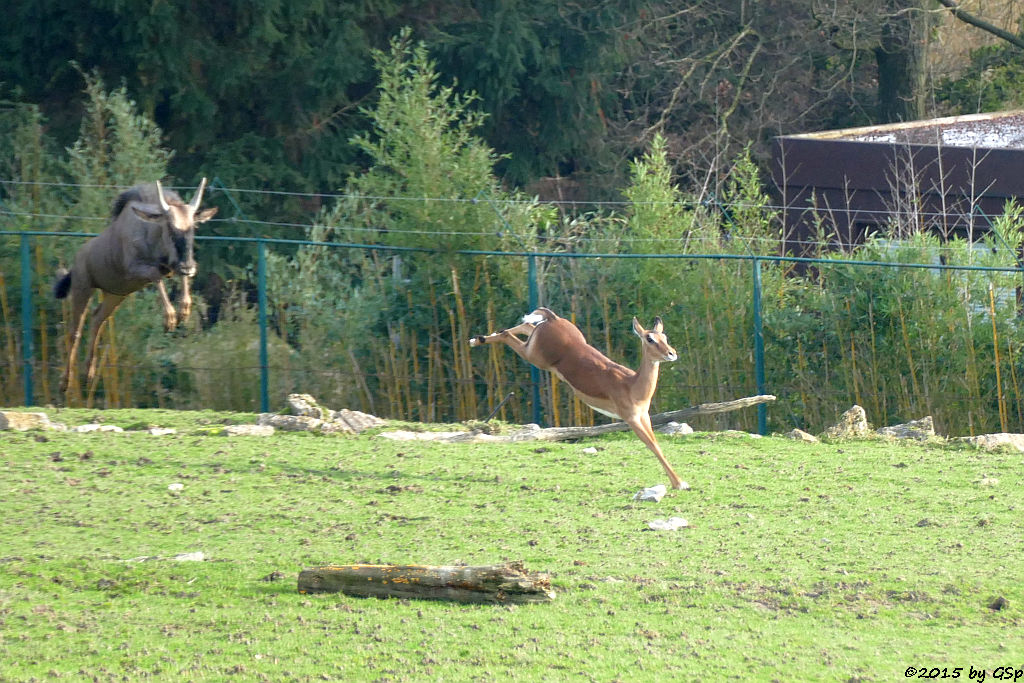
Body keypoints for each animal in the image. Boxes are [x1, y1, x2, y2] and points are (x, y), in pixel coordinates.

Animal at [471, 307, 688, 489]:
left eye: (664, 336)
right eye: (650, 339)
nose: (672, 353)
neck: (632, 385)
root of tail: (554, 319)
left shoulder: (644, 416)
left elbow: (656, 443)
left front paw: (679, 482)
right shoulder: (631, 418)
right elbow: (652, 445)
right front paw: (680, 484)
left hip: (533, 345)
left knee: (525, 326)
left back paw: (478, 338)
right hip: (534, 357)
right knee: (507, 334)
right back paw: (475, 340)